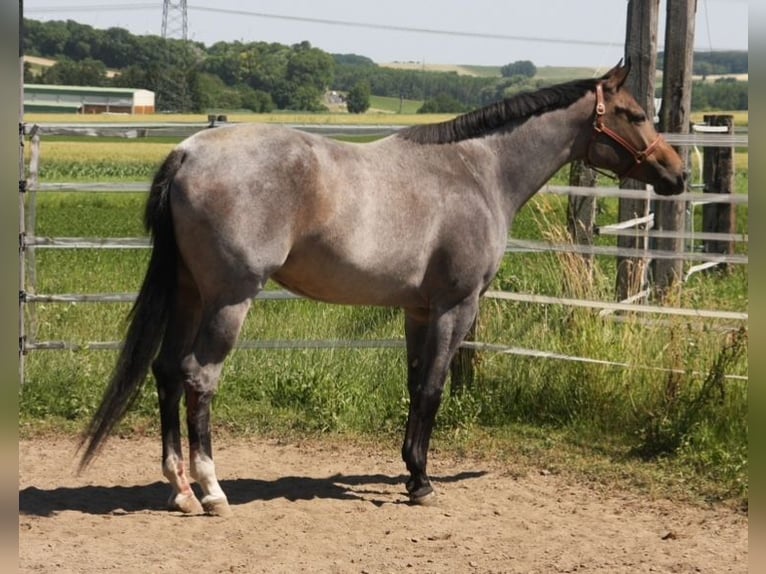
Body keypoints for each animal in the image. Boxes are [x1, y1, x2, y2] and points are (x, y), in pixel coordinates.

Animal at [78, 61, 686, 516]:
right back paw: (210, 490)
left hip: (190, 294)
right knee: (198, 378)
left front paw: (411, 471)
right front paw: (422, 483)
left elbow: (414, 385)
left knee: (165, 372)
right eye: (634, 114)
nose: (677, 173)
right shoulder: (454, 308)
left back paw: (179, 489)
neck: (477, 171)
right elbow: (433, 389)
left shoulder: (417, 312)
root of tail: (189, 151)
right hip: (229, 300)